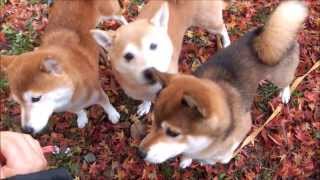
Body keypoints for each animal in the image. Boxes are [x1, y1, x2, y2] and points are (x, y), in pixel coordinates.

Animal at [0, 0, 127, 134]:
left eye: (36, 98)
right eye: (17, 102)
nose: (26, 130)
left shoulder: (99, 95)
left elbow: (106, 104)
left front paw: (112, 114)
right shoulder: (68, 106)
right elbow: (78, 111)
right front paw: (82, 118)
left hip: (111, 13)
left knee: (121, 18)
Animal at [90, 0, 230, 116]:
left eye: (153, 46)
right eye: (128, 56)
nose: (149, 72)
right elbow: (147, 99)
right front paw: (146, 106)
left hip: (209, 23)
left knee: (223, 29)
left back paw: (227, 43)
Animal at [138, 0, 308, 168]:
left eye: (172, 133)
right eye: (154, 121)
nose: (140, 153)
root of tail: (265, 38)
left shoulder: (243, 128)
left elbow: (220, 155)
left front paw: (211, 159)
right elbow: (189, 153)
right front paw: (187, 159)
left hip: (279, 77)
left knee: (286, 82)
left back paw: (284, 94)